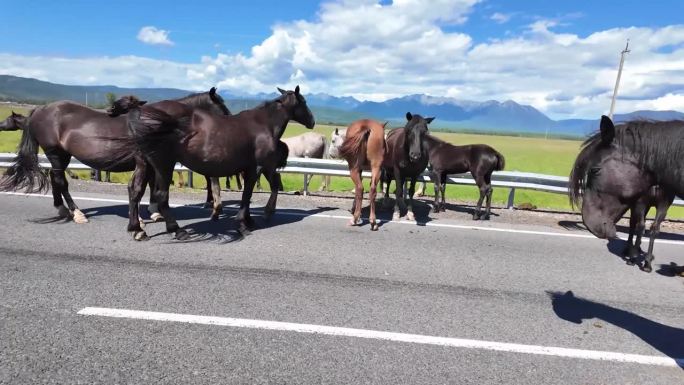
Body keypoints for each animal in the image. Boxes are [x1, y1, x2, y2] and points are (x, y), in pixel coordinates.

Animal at [113, 86, 316, 240]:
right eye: (304, 102)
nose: (313, 122)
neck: (263, 125)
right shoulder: (256, 167)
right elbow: (247, 195)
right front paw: (243, 223)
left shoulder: (252, 168)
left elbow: (251, 194)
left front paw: (250, 219)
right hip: (163, 164)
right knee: (161, 195)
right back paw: (176, 230)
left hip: (145, 164)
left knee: (136, 190)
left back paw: (137, 229)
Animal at [568, 115, 684, 272]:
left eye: (595, 170)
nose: (589, 223)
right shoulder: (640, 203)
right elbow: (639, 227)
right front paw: (633, 257)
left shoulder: (663, 206)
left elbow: (654, 229)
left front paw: (647, 262)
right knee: (633, 224)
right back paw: (630, 250)